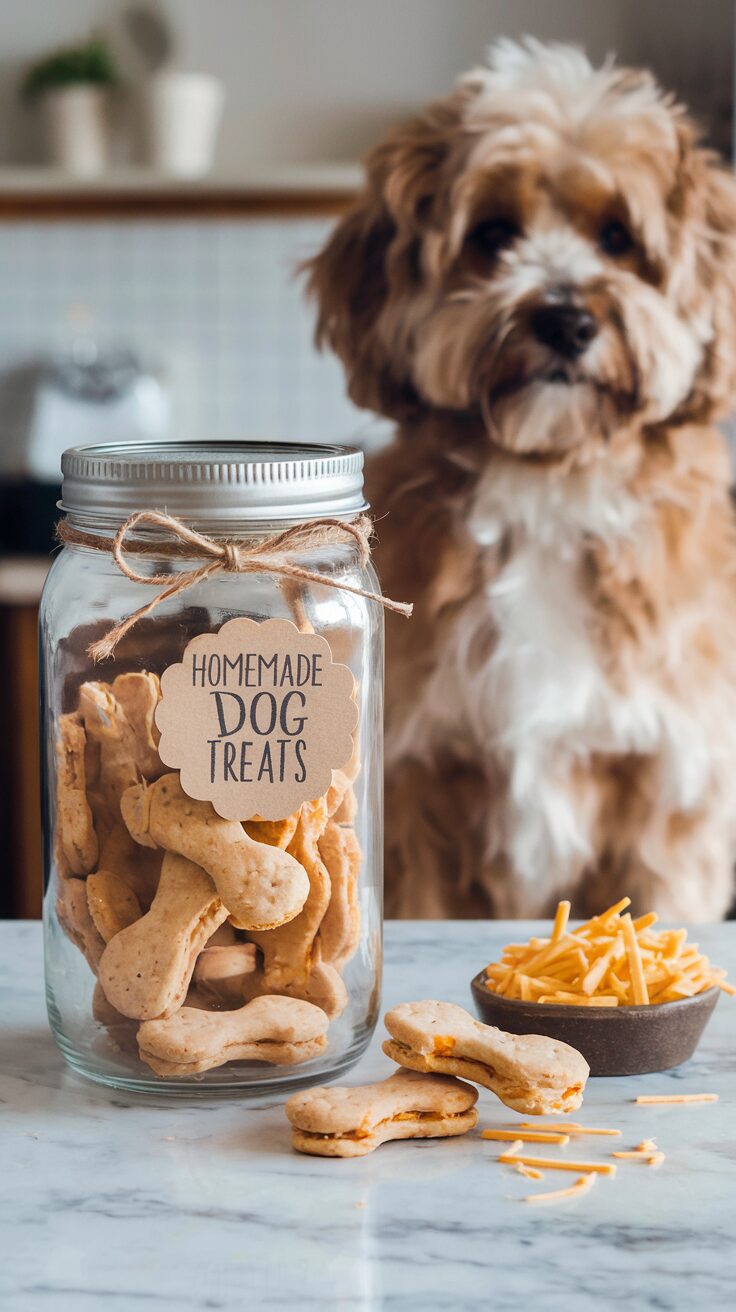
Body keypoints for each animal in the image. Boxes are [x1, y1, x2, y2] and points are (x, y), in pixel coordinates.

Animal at [305, 43, 736, 923]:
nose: (565, 319)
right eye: (493, 233)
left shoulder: (669, 787)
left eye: (618, 236)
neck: (549, 488)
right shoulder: (418, 786)